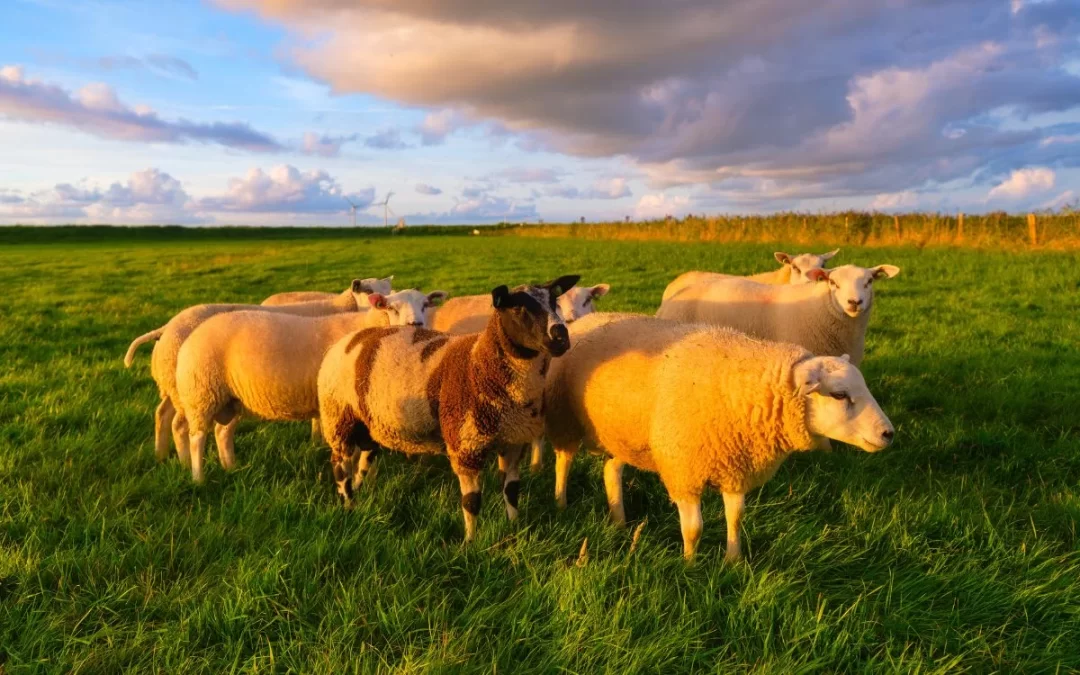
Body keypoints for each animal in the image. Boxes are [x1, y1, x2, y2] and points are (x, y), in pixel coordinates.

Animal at [177, 287, 447, 481]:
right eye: (391, 307)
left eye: (425, 305)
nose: (415, 325)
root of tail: (194, 332)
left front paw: (366, 481)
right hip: (201, 393)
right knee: (197, 437)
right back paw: (198, 479)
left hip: (232, 397)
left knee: (223, 432)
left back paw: (231, 468)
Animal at [315, 274, 578, 542]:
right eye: (517, 308)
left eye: (554, 301)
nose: (560, 337)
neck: (479, 363)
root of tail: (348, 340)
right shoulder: (466, 445)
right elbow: (471, 502)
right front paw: (470, 543)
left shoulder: (514, 441)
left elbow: (512, 491)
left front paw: (514, 529)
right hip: (338, 417)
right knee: (340, 465)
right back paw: (348, 505)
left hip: (370, 422)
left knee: (365, 458)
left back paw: (359, 491)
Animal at [548, 313, 894, 561]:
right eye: (839, 394)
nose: (888, 434)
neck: (741, 389)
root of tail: (585, 319)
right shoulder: (684, 471)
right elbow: (694, 529)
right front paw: (689, 565)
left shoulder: (735, 468)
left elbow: (736, 517)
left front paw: (733, 561)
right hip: (565, 420)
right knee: (563, 462)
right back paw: (561, 503)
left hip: (624, 436)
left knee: (611, 471)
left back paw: (619, 520)